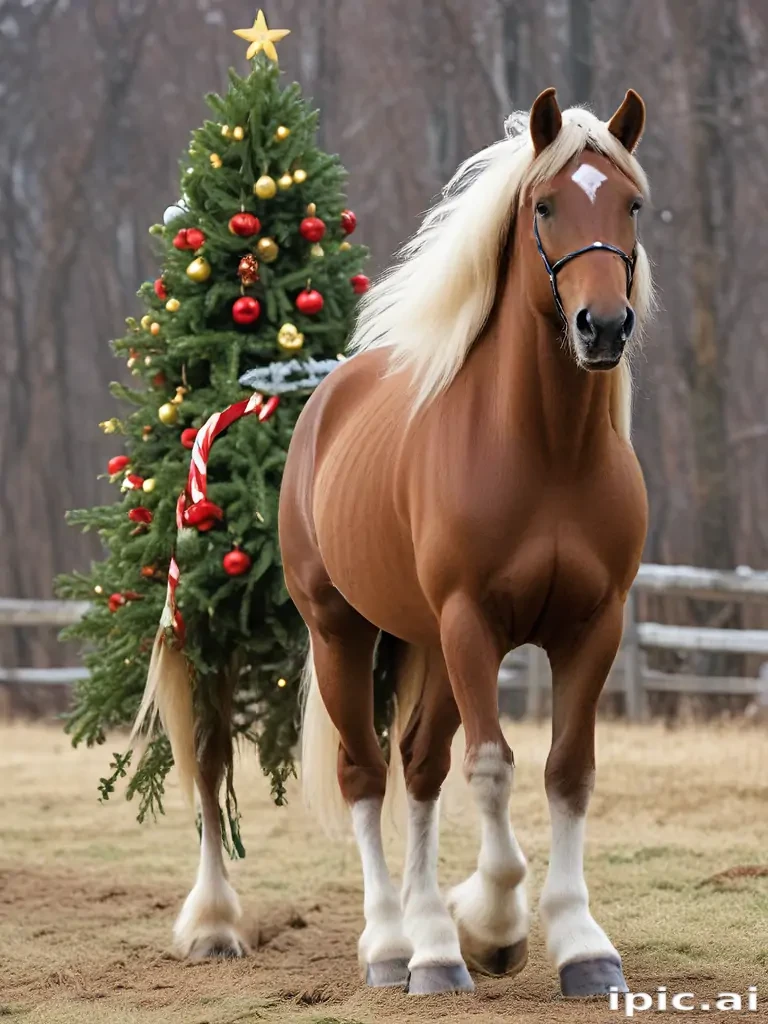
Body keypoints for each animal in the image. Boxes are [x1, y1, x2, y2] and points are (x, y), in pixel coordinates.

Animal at [277, 87, 653, 997]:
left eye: (631, 205)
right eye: (545, 205)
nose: (603, 327)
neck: (547, 451)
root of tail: (325, 400)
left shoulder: (594, 627)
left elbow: (567, 770)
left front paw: (580, 945)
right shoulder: (471, 623)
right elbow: (490, 766)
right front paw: (493, 925)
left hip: (428, 646)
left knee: (417, 767)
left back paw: (432, 944)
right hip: (345, 632)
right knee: (366, 773)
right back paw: (394, 947)